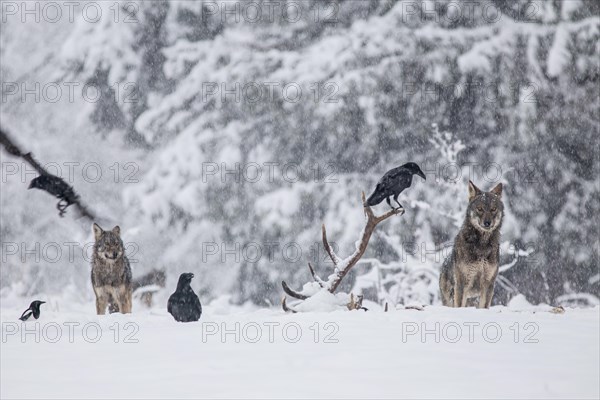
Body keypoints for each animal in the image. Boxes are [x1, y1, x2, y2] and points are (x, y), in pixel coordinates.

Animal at [438, 181, 504, 310]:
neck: (482, 244)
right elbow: (459, 307)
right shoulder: (462, 283)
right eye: (480, 209)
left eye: (493, 209)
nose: (487, 223)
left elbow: (484, 307)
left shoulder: (488, 283)